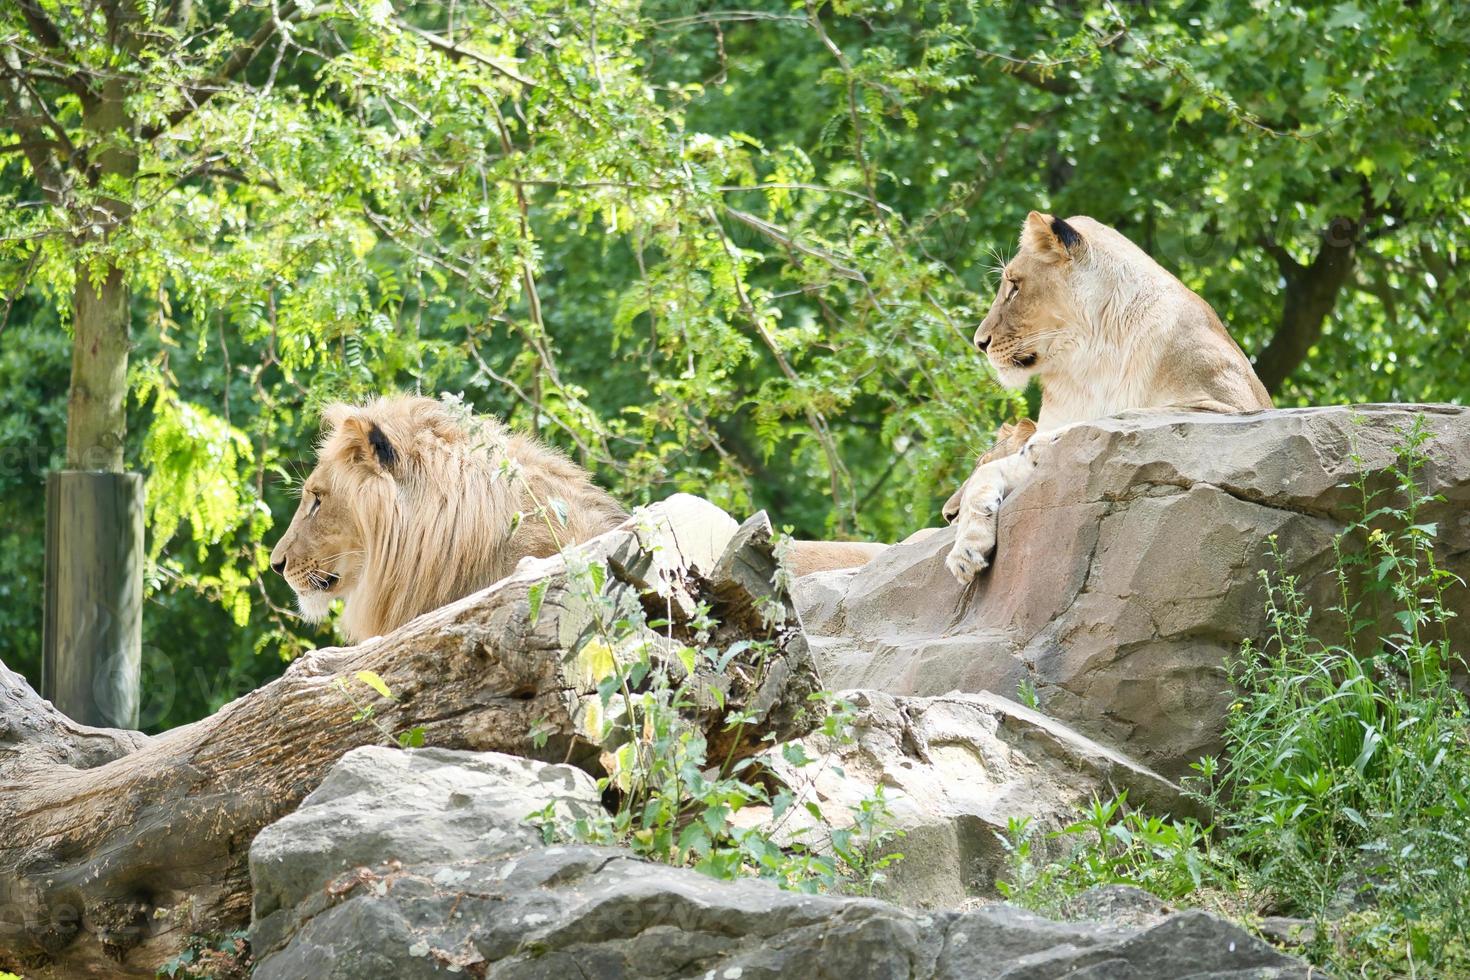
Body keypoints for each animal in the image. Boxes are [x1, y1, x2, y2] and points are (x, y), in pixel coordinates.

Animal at [940, 213, 1275, 581]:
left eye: (1014, 285)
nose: (979, 342)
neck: (1088, 362)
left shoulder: (1231, 404)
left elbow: (1124, 416)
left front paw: (1043, 444)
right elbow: (991, 473)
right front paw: (966, 549)